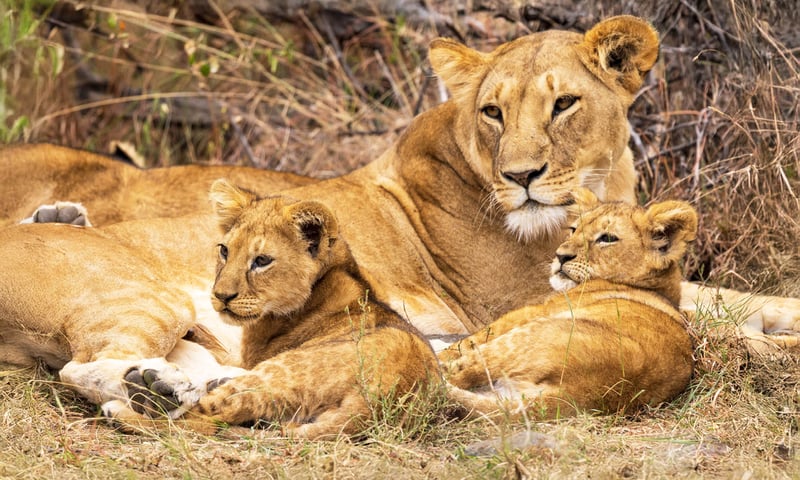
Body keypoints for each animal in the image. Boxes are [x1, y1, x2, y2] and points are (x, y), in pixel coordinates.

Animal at [438, 189, 695, 419]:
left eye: (607, 238)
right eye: (573, 229)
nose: (560, 256)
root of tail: (575, 393)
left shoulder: (532, 311)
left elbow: (468, 340)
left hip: (528, 334)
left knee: (458, 371)